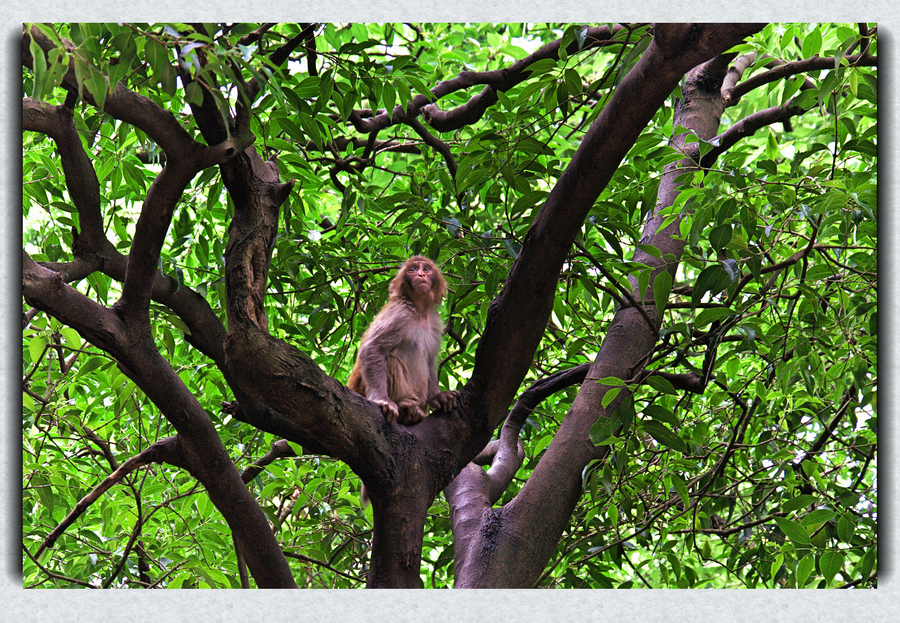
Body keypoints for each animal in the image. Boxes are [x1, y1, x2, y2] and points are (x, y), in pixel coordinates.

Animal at [344, 256, 458, 426]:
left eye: (426, 269)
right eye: (412, 270)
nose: (420, 275)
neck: (419, 312)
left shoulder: (435, 323)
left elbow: (430, 361)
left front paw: (438, 397)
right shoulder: (399, 313)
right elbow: (373, 349)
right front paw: (382, 400)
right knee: (390, 359)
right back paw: (404, 407)